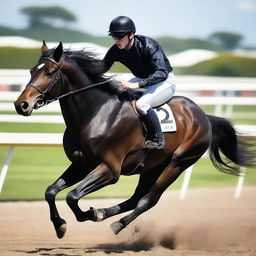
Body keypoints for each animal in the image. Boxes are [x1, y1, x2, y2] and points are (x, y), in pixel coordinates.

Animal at [14, 41, 256, 239]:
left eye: (49, 72)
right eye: (31, 71)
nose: (21, 104)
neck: (95, 115)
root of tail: (204, 116)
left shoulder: (110, 169)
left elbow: (72, 196)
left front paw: (86, 214)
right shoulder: (81, 164)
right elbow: (51, 191)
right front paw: (60, 225)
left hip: (177, 163)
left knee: (147, 200)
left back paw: (116, 224)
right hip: (151, 166)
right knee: (135, 198)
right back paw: (104, 213)